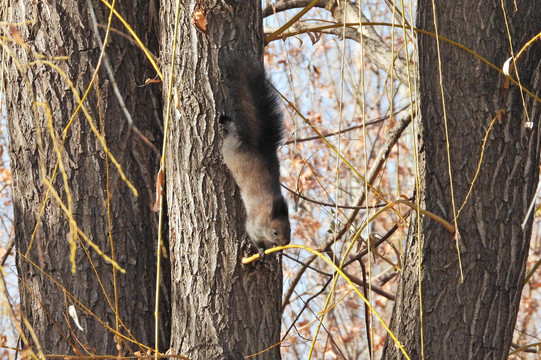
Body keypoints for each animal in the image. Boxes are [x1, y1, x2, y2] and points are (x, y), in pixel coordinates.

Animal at [218, 56, 292, 255]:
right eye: (275, 232)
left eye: (290, 229)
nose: (285, 244)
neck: (267, 216)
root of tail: (258, 148)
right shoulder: (254, 225)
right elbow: (252, 235)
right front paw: (260, 250)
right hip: (230, 150)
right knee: (231, 136)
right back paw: (228, 125)